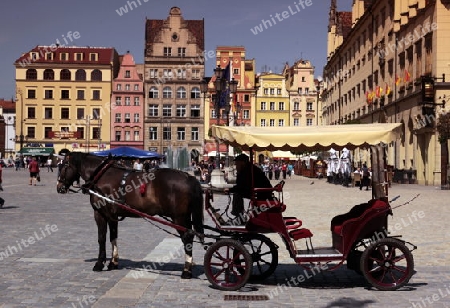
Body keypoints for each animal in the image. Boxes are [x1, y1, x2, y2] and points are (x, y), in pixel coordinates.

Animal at [55, 152, 204, 280]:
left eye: (64, 166)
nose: (59, 187)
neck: (102, 176)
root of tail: (189, 177)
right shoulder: (113, 216)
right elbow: (113, 237)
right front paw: (113, 262)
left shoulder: (100, 214)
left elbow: (101, 238)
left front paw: (99, 264)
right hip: (185, 217)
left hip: (178, 218)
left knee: (187, 238)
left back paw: (186, 270)